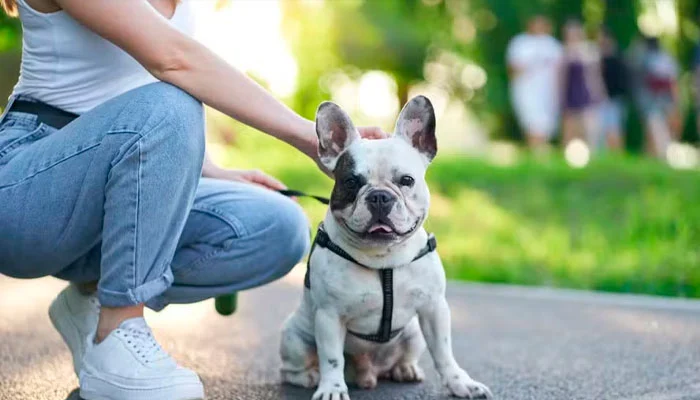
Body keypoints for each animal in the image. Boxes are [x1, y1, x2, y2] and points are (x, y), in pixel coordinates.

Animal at [278, 97, 492, 400]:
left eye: (407, 180)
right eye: (351, 182)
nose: (380, 196)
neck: (384, 258)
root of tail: (366, 373)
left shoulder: (434, 308)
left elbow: (444, 352)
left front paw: (461, 383)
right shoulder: (329, 316)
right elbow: (331, 358)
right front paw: (331, 389)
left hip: (413, 335)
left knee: (405, 356)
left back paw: (405, 369)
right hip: (294, 337)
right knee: (293, 367)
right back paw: (309, 377)